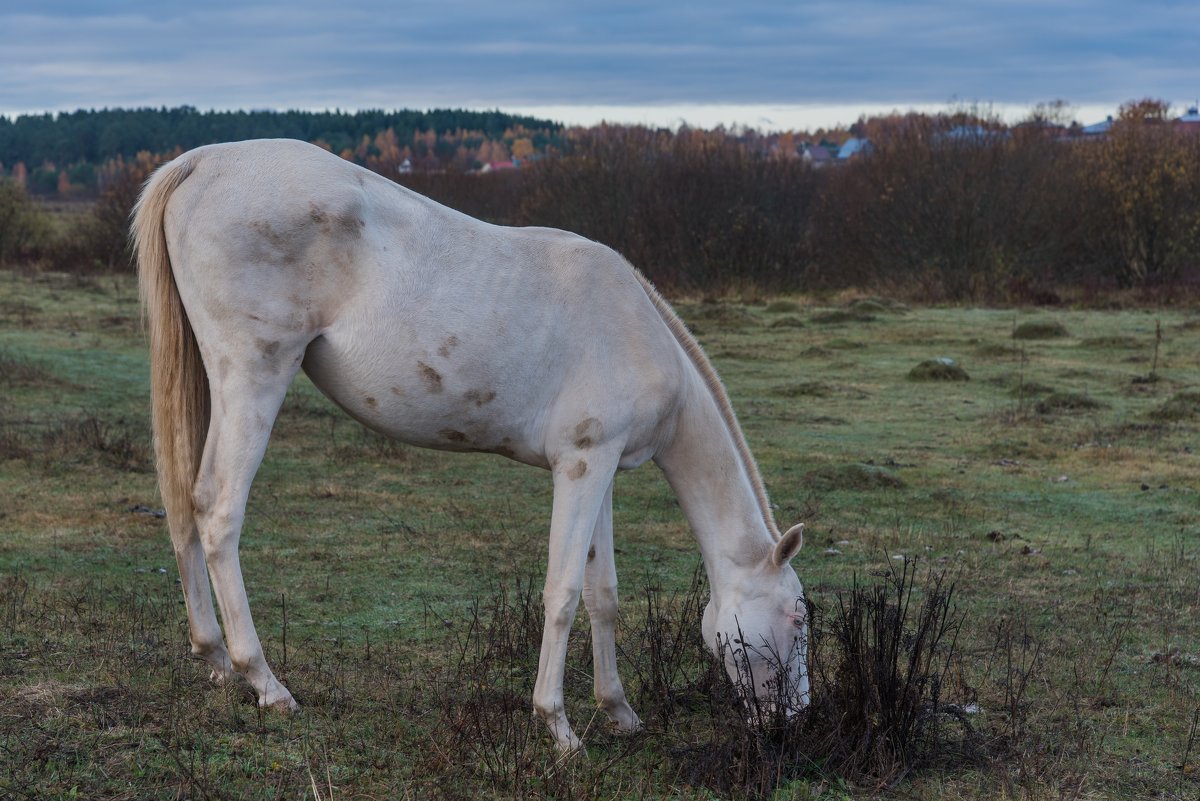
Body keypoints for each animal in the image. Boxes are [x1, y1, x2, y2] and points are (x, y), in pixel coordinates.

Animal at [131, 139, 811, 753]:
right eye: (798, 619)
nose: (795, 722)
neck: (635, 329)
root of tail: (202, 161)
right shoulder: (582, 466)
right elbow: (562, 595)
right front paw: (558, 727)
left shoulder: (597, 469)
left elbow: (603, 595)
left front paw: (619, 711)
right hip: (253, 376)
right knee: (218, 511)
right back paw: (265, 682)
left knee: (185, 504)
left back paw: (215, 658)